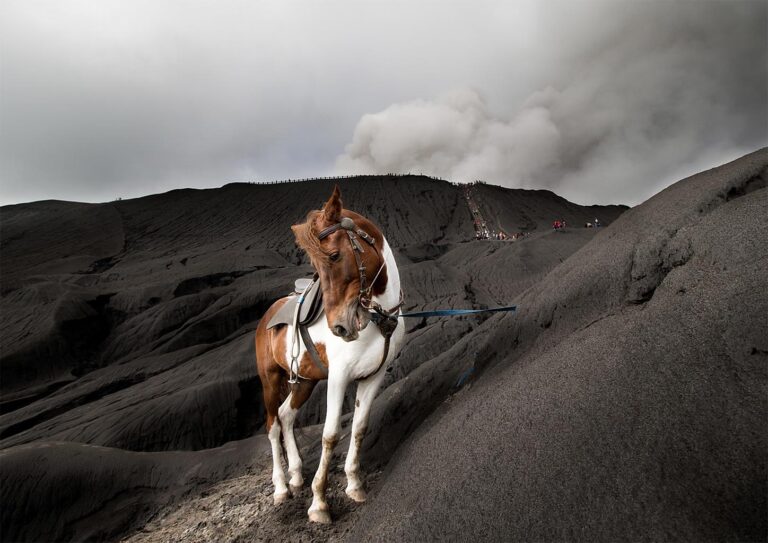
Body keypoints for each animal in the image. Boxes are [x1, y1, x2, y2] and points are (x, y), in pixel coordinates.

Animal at [254, 186, 408, 524]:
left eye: (335, 256)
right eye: (316, 266)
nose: (339, 326)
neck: (378, 319)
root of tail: (268, 314)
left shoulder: (374, 375)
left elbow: (360, 427)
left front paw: (354, 484)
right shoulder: (338, 377)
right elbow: (330, 434)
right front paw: (319, 503)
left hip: (305, 381)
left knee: (286, 415)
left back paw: (296, 475)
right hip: (270, 379)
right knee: (272, 425)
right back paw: (281, 487)